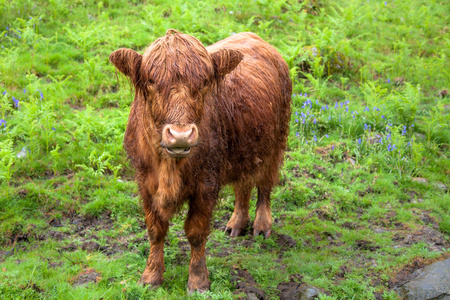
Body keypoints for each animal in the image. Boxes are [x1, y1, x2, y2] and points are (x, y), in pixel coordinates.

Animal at [110, 29, 292, 292]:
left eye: (204, 82)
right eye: (151, 81)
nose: (180, 135)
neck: (169, 167)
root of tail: (255, 37)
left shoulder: (206, 184)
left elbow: (196, 232)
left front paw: (198, 281)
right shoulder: (144, 182)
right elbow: (155, 230)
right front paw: (151, 277)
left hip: (275, 144)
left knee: (265, 186)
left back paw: (261, 226)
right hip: (243, 150)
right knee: (243, 185)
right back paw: (236, 223)